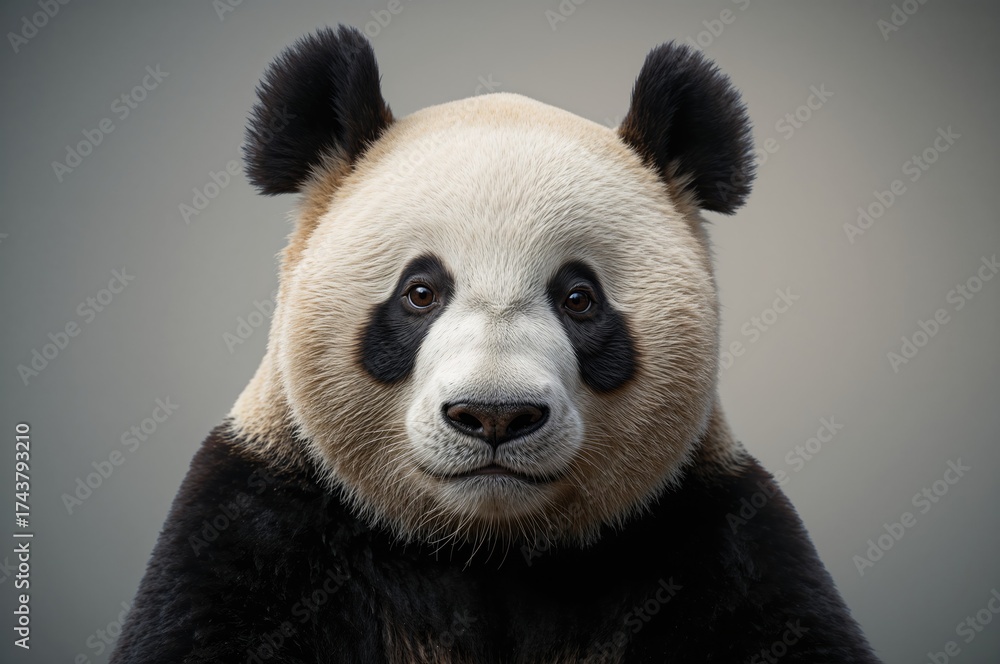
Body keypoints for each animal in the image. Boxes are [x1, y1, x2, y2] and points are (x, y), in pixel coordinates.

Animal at [112, 25, 880, 664]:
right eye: (421, 292)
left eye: (579, 298)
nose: (494, 415)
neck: (491, 550)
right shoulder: (263, 527)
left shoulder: (710, 535)